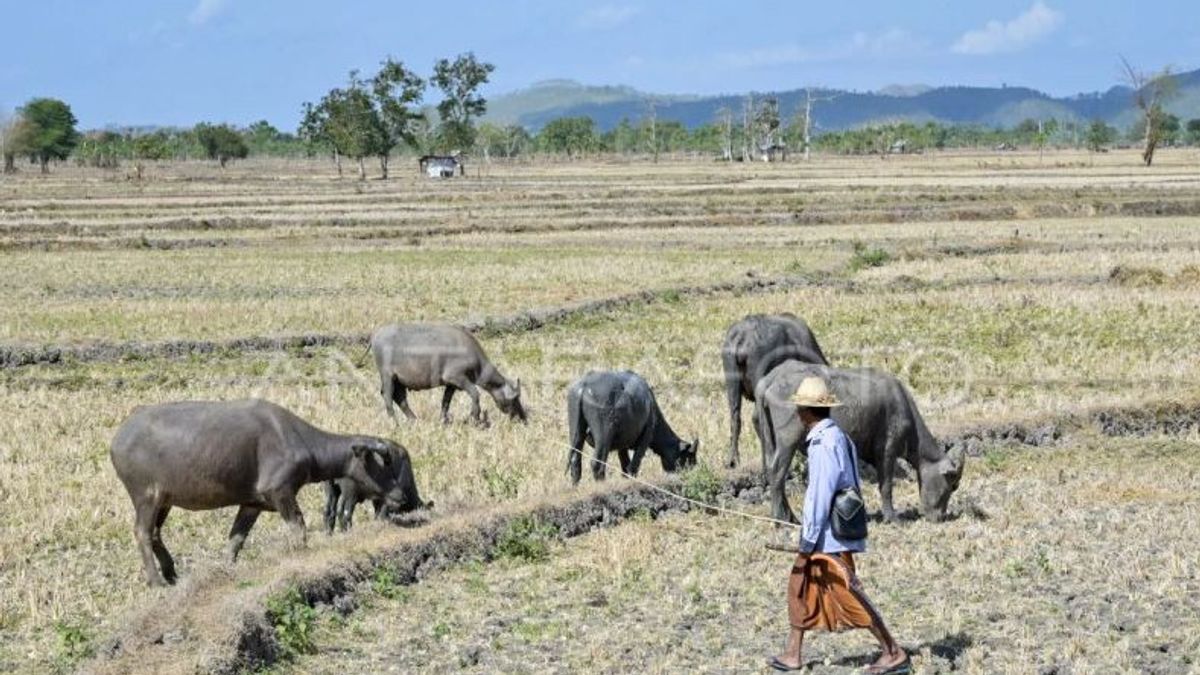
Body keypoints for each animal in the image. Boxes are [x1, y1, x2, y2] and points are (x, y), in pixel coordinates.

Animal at [109, 398, 427, 583]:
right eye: (382, 463)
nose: (399, 496)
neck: (299, 441)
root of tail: (117, 439)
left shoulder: (252, 504)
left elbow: (236, 539)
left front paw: (228, 568)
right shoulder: (281, 493)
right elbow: (298, 527)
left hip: (165, 501)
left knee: (155, 533)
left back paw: (172, 573)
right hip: (146, 497)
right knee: (141, 532)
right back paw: (157, 580)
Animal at [369, 321, 525, 425]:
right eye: (515, 399)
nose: (522, 417)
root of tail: (375, 335)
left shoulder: (451, 385)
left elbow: (445, 402)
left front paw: (443, 420)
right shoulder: (458, 378)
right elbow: (475, 394)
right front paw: (475, 417)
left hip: (399, 380)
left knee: (400, 398)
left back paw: (414, 419)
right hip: (387, 376)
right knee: (388, 396)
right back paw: (395, 423)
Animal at [566, 367, 700, 482]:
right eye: (688, 459)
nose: (691, 473)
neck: (650, 405)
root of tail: (584, 386)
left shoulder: (622, 445)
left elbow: (625, 465)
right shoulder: (646, 437)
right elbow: (634, 465)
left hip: (576, 432)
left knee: (575, 461)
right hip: (604, 435)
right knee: (598, 464)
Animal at [748, 362, 964, 521]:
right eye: (952, 485)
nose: (940, 517)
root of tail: (769, 381)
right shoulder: (887, 450)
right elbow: (886, 485)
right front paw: (892, 517)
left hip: (766, 436)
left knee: (771, 471)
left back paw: (789, 516)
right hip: (788, 440)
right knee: (777, 472)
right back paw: (780, 519)